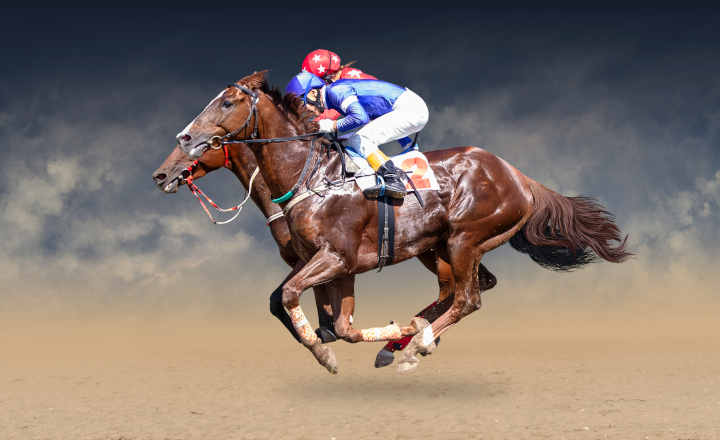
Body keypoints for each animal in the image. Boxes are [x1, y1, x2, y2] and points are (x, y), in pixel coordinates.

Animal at [152, 139, 460, 370]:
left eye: (201, 145)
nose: (160, 175)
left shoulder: (322, 257)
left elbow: (302, 300)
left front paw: (323, 338)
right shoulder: (306, 258)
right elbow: (281, 300)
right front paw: (319, 337)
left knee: (453, 291)